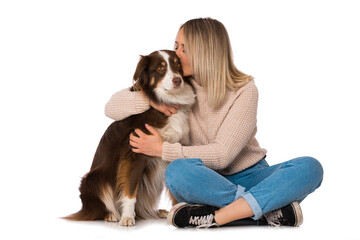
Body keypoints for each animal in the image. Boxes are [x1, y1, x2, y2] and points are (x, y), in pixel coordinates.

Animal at [63, 49, 195, 226]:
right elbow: (130, 189)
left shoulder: (170, 149)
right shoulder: (134, 154)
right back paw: (111, 215)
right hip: (93, 179)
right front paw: (127, 217)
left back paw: (157, 212)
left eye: (178, 65)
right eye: (160, 68)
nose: (178, 80)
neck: (165, 101)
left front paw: (179, 209)